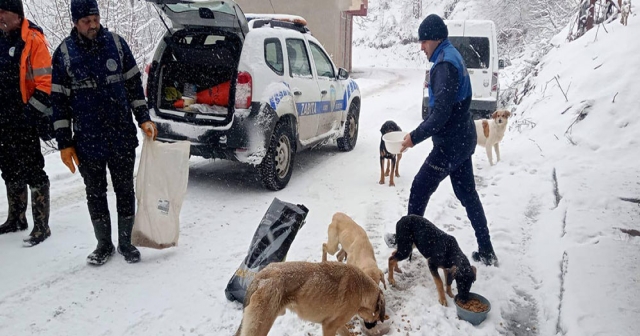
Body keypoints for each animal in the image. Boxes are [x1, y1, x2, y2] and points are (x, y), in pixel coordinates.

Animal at [235, 262, 384, 336]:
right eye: (376, 316)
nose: (374, 326)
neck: (362, 289)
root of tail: (260, 276)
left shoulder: (336, 324)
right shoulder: (329, 327)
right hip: (260, 326)